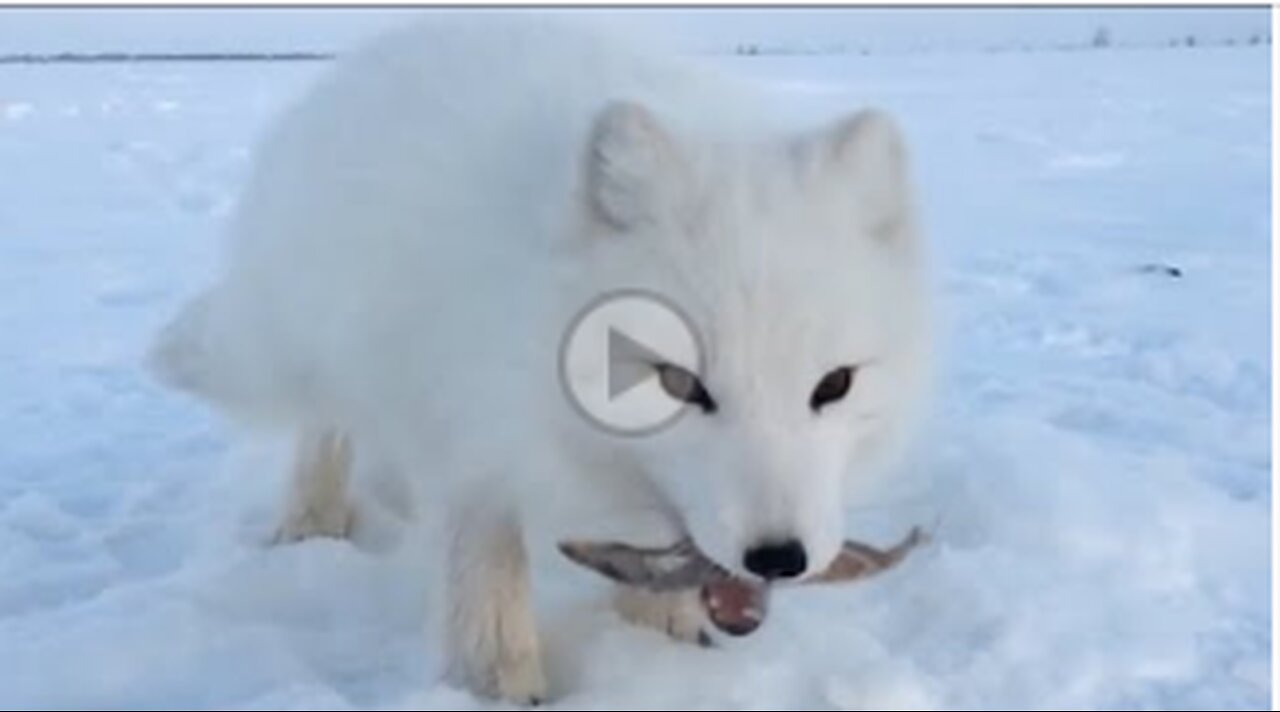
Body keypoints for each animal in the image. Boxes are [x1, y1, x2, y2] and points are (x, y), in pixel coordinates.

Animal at [149, 13, 931, 701]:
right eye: (678, 382)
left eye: (834, 384)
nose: (778, 558)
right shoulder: (467, 427)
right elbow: (485, 570)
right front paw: (499, 684)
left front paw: (660, 641)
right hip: (319, 340)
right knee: (324, 421)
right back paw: (313, 519)